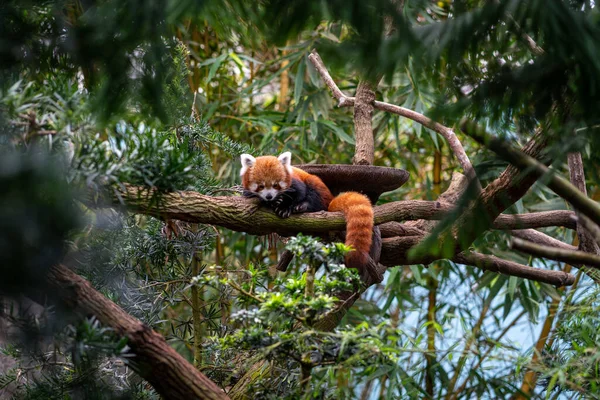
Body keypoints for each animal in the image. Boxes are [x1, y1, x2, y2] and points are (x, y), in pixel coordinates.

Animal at [240, 152, 376, 276]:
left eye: (275, 185)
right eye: (261, 186)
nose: (269, 196)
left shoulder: (295, 182)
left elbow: (300, 193)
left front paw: (285, 207)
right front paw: (273, 202)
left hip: (318, 188)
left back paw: (303, 207)